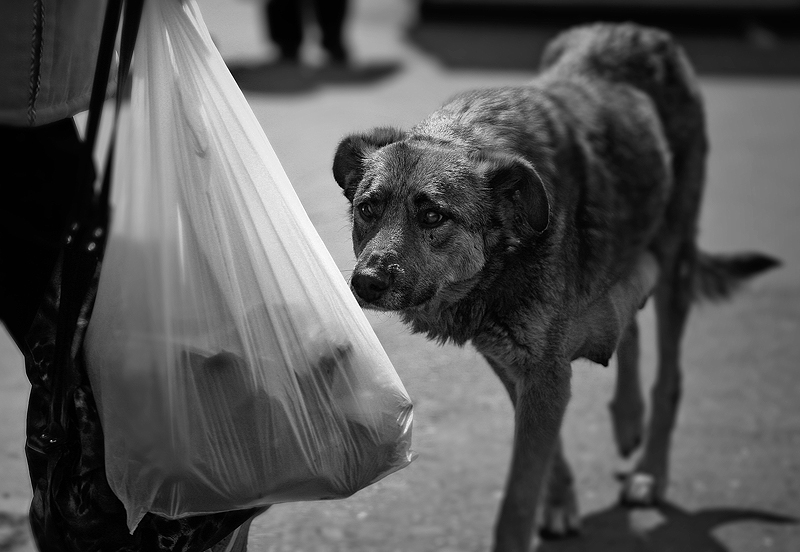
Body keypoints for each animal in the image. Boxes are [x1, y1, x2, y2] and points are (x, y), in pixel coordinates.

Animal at [328, 22, 780, 552]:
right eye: (367, 209)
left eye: (433, 216)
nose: (366, 283)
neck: (505, 252)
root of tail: (640, 32)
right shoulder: (518, 363)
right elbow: (547, 455)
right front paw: (561, 503)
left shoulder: (541, 371)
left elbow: (518, 498)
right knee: (627, 319)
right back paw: (628, 417)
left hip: (675, 262)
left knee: (669, 374)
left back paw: (650, 472)